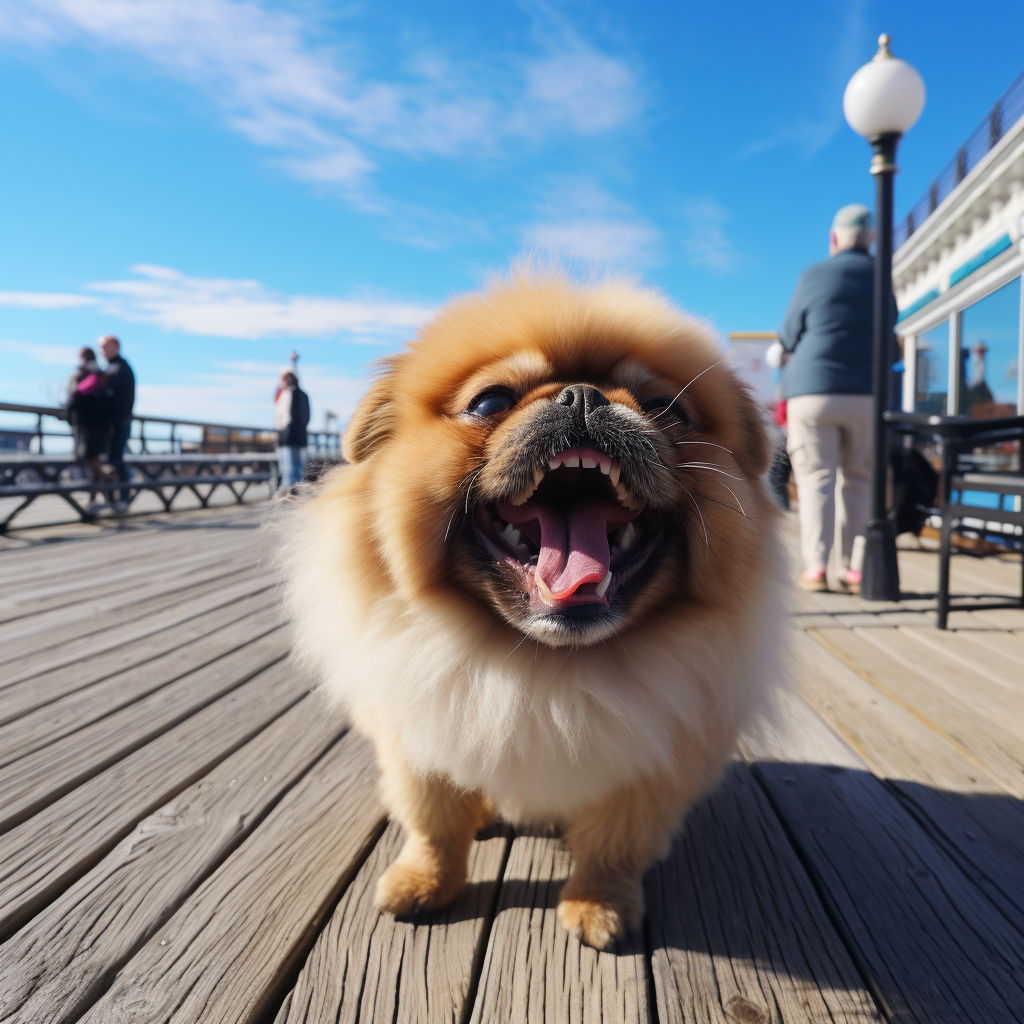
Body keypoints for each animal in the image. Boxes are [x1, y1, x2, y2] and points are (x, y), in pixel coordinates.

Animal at [284, 270, 786, 942]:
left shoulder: (652, 767)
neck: (545, 667)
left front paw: (599, 904)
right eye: (490, 402)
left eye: (666, 409)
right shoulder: (417, 738)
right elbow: (433, 823)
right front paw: (423, 883)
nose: (583, 395)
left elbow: (614, 843)